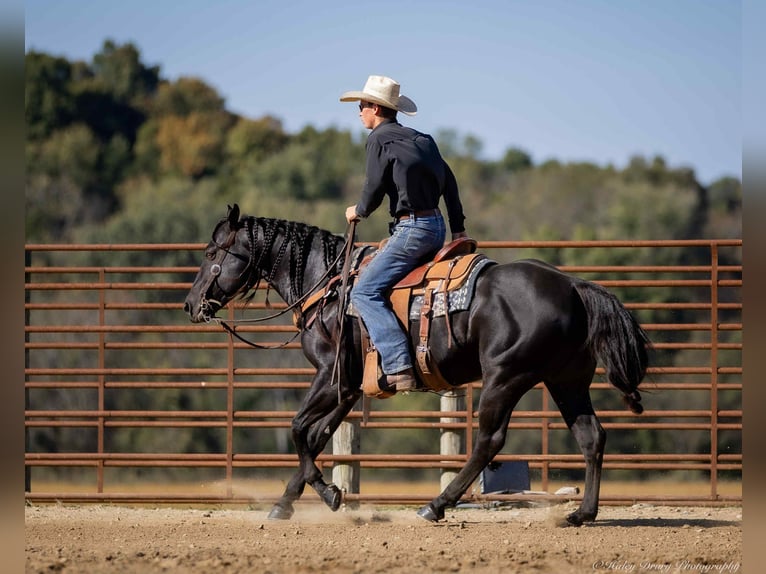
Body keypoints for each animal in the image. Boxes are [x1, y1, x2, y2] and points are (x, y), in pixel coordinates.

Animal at [183, 204, 650, 526]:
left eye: (209, 251)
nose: (190, 304)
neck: (329, 285)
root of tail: (572, 285)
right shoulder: (347, 388)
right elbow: (315, 437)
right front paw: (288, 503)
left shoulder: (330, 378)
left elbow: (299, 430)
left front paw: (327, 494)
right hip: (566, 381)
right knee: (591, 437)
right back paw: (582, 514)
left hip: (505, 377)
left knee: (489, 441)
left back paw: (436, 506)